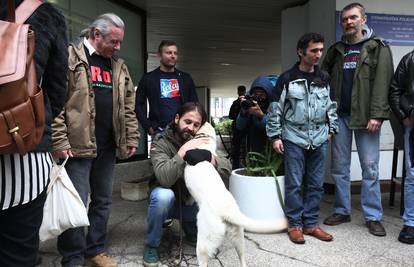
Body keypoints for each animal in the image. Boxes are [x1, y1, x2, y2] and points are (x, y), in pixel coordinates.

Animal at [184, 123, 288, 267]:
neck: (204, 144)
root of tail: (229, 211)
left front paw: (187, 201)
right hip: (238, 236)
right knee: (242, 257)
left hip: (204, 241)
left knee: (203, 259)